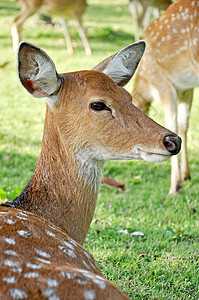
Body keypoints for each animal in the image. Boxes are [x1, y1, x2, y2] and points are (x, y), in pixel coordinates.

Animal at [131, 0, 198, 195]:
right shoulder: (186, 88)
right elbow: (184, 125)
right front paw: (186, 175)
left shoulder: (163, 83)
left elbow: (173, 126)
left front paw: (175, 185)